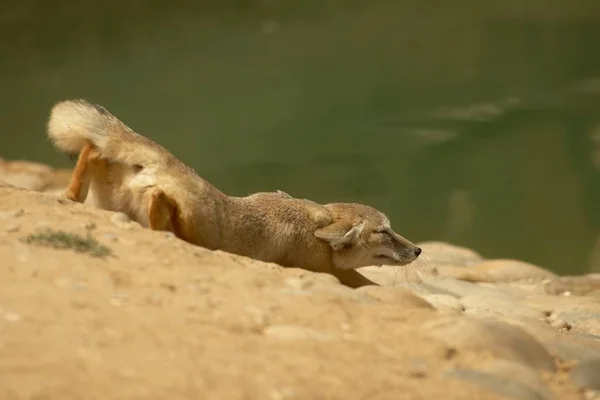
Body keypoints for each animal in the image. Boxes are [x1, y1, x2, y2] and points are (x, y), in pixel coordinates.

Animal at [47, 99, 422, 288]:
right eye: (384, 232)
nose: (418, 250)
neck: (312, 222)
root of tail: (165, 161)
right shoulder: (326, 269)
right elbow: (365, 282)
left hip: (107, 186)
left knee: (92, 152)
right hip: (195, 217)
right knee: (164, 206)